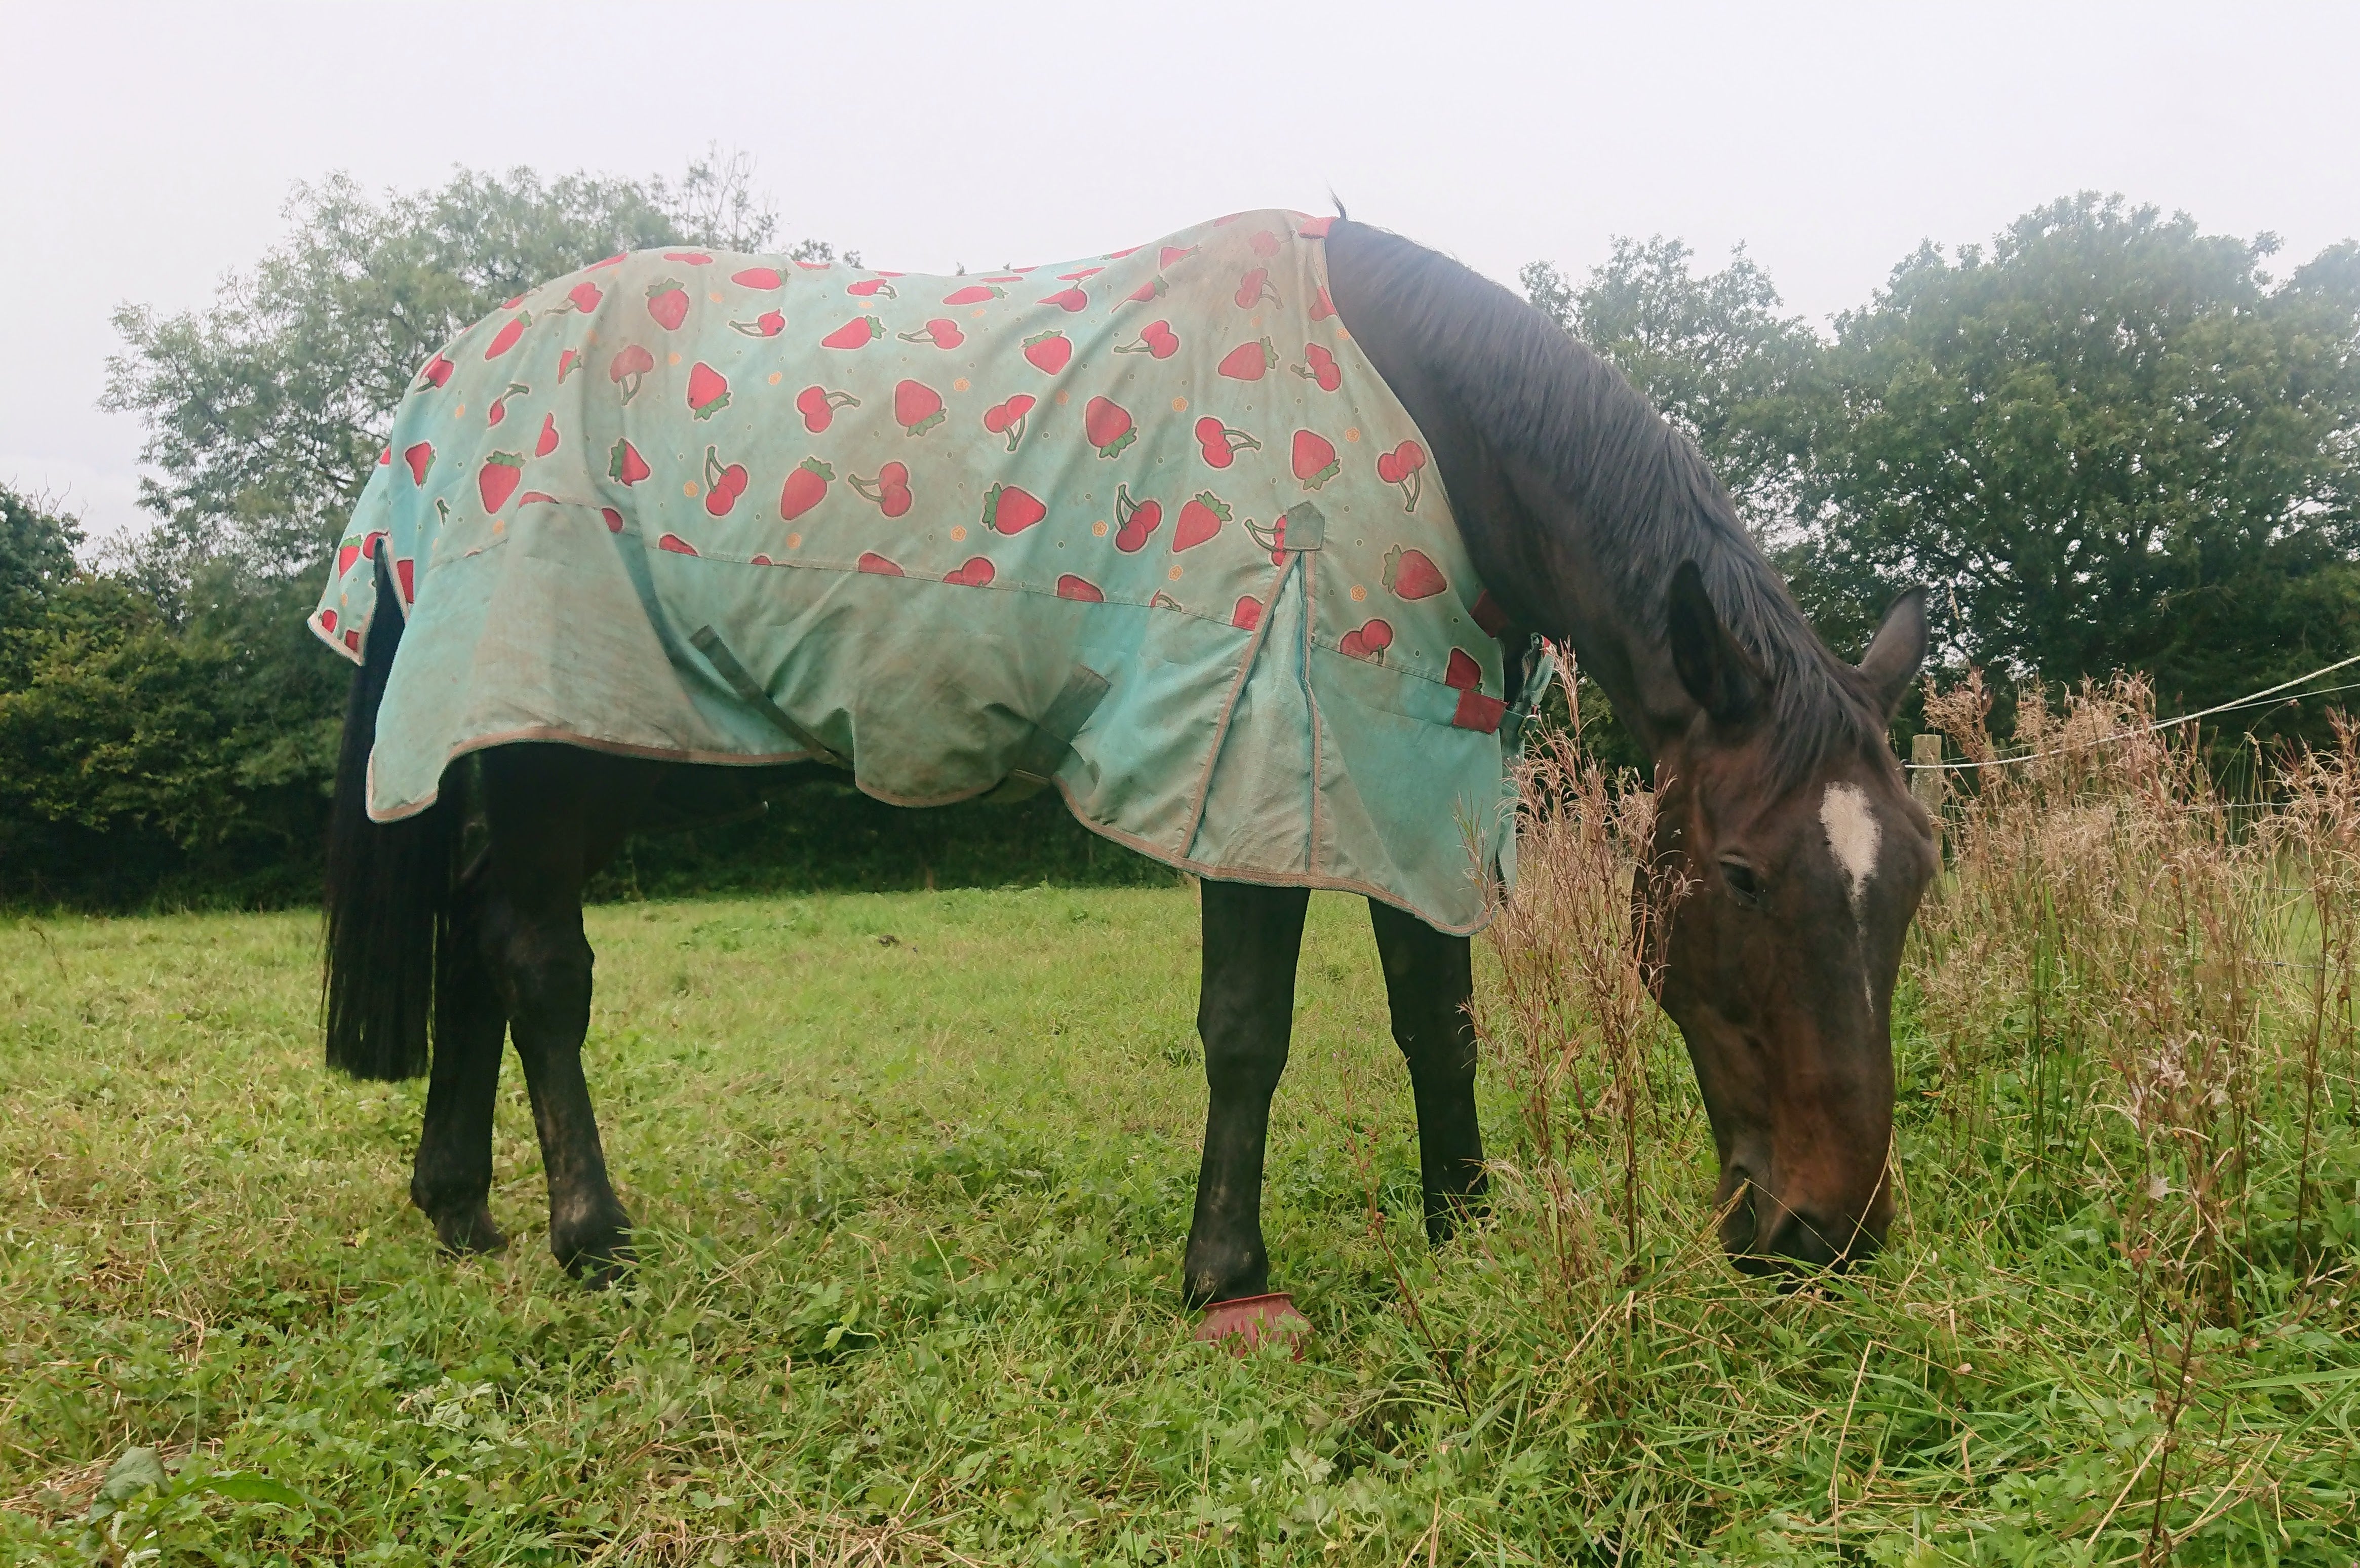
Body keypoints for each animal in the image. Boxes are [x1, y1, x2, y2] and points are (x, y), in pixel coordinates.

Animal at [320, 213, 1934, 1304]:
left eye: (1917, 876)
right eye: (1742, 876)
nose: (1822, 1234)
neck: (1426, 425)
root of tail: (450, 374)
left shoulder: (1410, 760)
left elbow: (1438, 1018)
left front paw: (1462, 1223)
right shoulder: (1266, 750)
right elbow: (1248, 1029)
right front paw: (1225, 1273)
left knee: (474, 926)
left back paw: (459, 1207)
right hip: (563, 742)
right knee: (535, 954)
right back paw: (590, 1239)